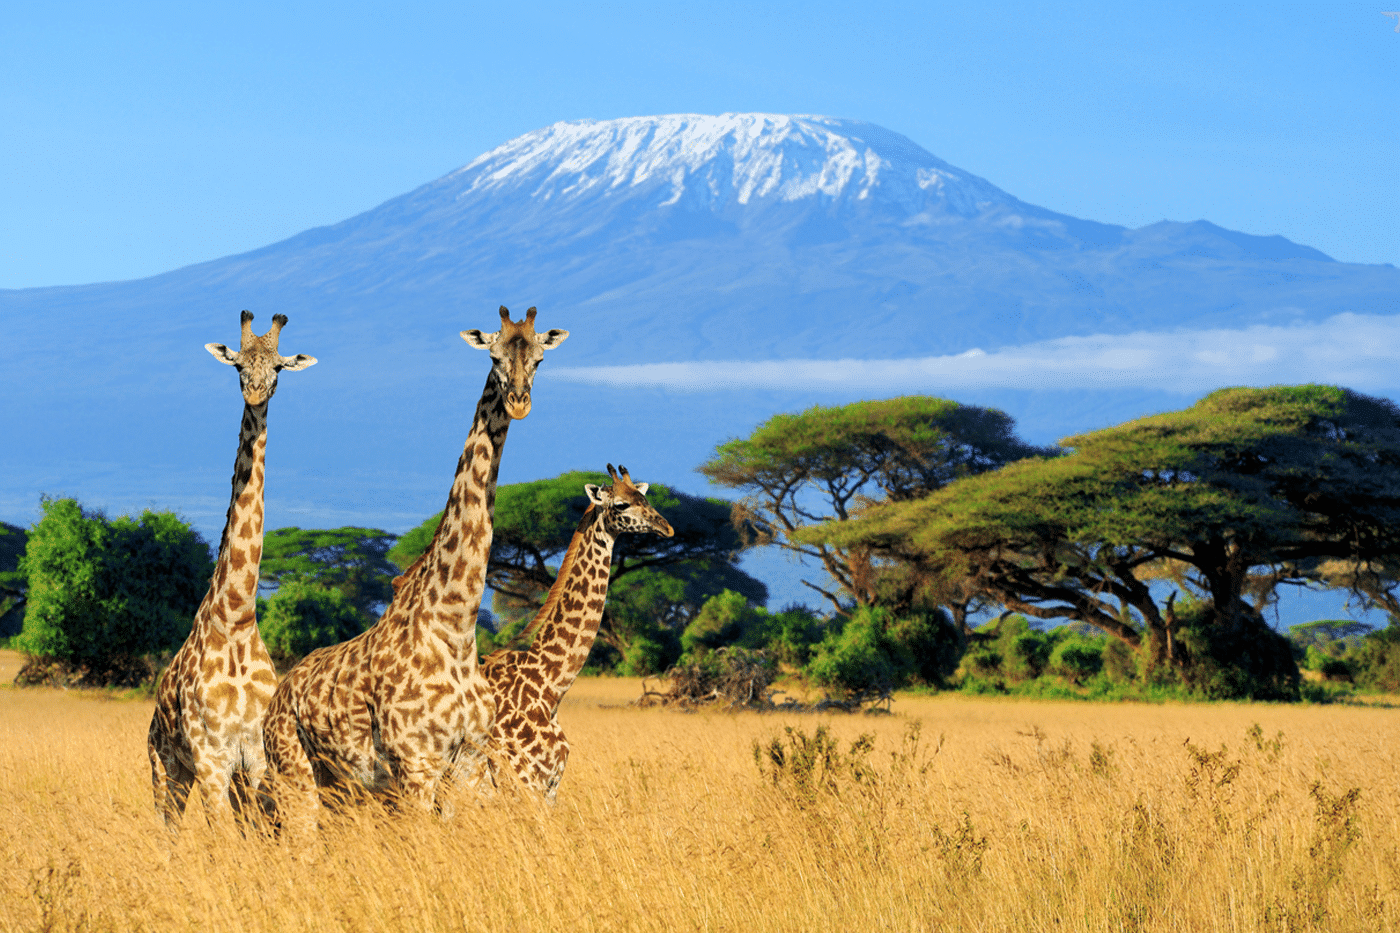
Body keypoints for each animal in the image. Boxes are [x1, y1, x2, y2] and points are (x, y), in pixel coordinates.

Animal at [150, 311, 320, 823]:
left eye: (279, 367)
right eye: (239, 364)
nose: (256, 393)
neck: (238, 618)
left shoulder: (257, 760)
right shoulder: (211, 760)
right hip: (165, 767)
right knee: (165, 826)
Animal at [260, 301, 565, 823]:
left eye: (540, 359)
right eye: (494, 357)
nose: (519, 402)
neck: (455, 627)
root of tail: (279, 694)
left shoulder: (468, 765)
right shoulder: (417, 765)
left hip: (342, 788)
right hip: (294, 774)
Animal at [478, 465, 674, 801]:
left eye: (645, 498)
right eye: (621, 504)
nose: (667, 528)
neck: (550, 686)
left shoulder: (549, 787)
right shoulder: (524, 783)